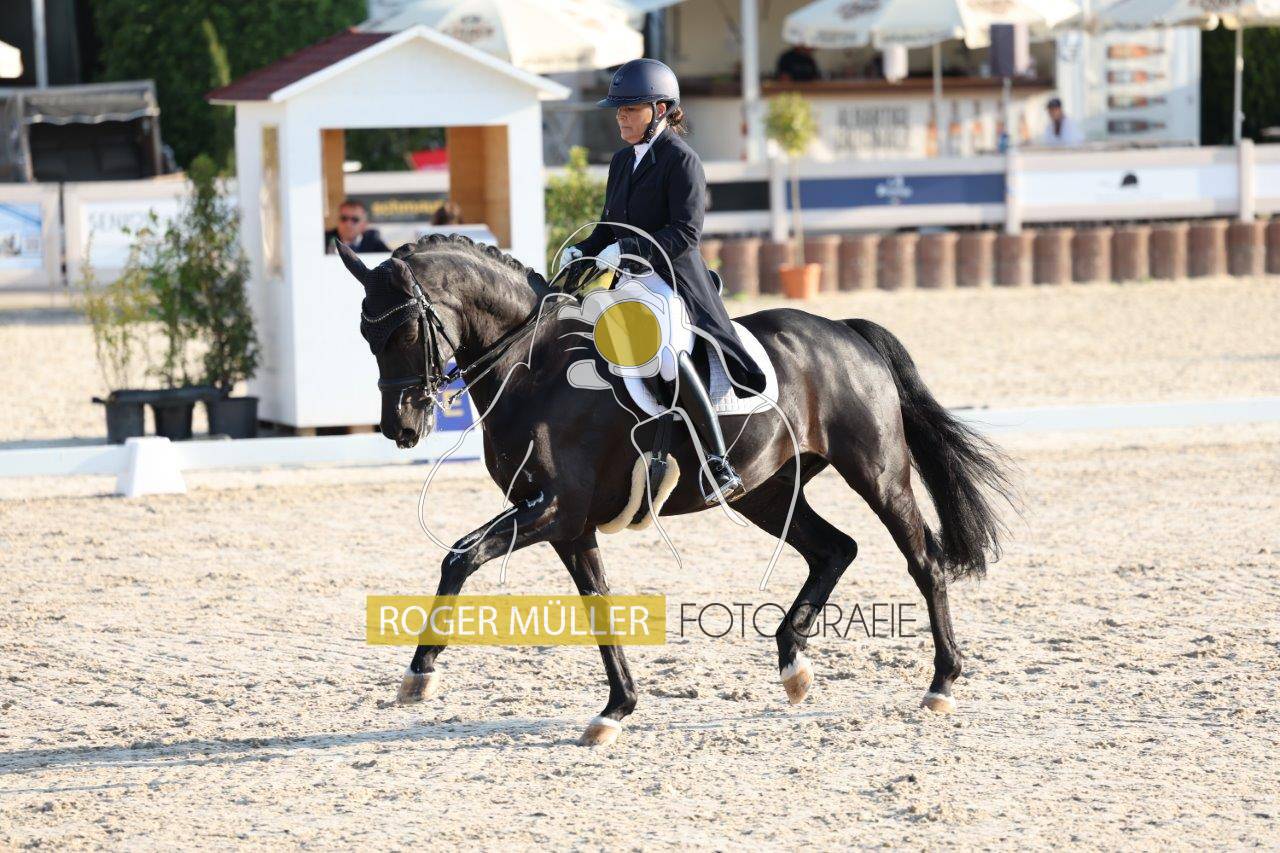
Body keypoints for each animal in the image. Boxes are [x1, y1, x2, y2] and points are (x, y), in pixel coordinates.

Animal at [336, 234, 1014, 747]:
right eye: (366, 338)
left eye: (404, 332)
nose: (401, 428)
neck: (534, 369)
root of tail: (844, 331)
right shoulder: (568, 526)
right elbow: (598, 604)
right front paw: (615, 710)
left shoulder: (553, 511)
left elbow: (460, 556)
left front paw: (419, 675)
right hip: (765, 492)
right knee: (834, 549)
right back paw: (794, 667)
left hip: (876, 471)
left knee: (923, 559)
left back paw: (941, 685)